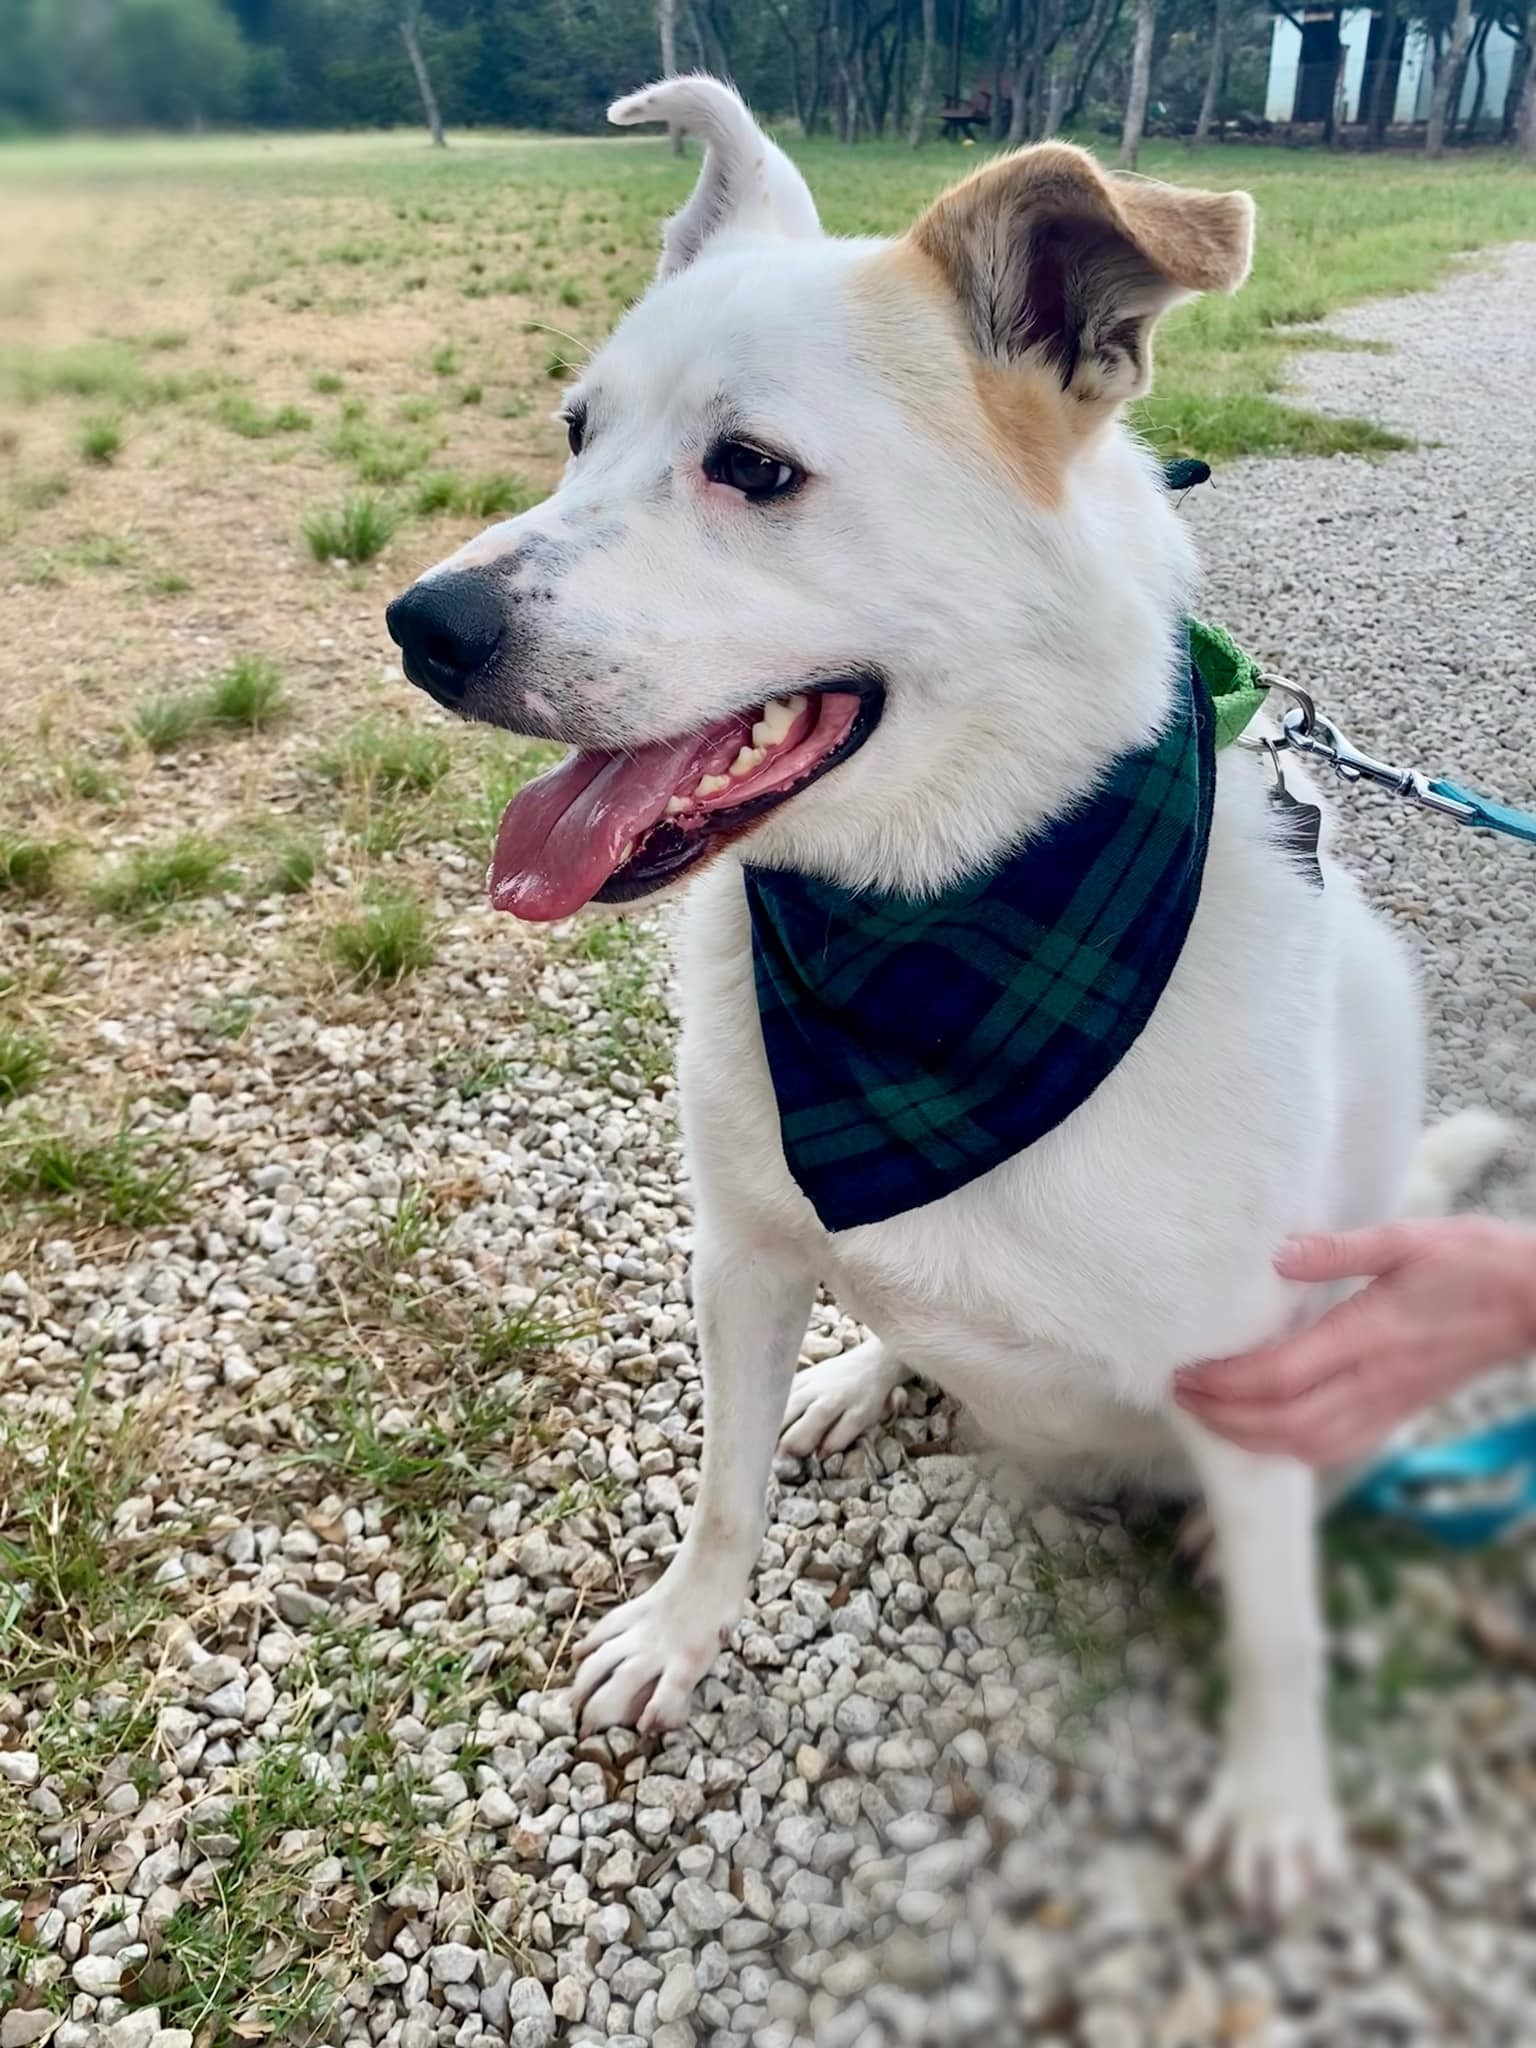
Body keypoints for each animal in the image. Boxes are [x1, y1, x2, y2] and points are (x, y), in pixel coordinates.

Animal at [382, 75, 1490, 1900]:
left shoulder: (1249, 1381)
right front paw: (683, 1633)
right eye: (574, 430)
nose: (421, 623)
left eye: (753, 468)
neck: (929, 931)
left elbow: (1278, 1630)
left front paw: (1276, 1806)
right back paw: (858, 1374)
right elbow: (723, 1497)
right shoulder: (743, 1253)